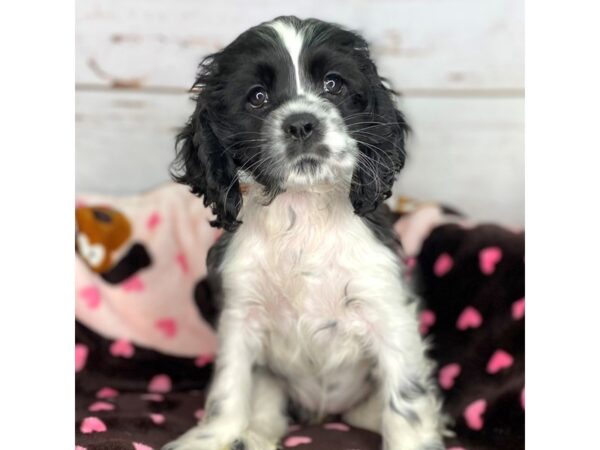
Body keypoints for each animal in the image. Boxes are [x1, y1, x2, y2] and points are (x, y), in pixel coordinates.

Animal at [164, 15, 446, 450]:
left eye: (333, 84)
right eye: (257, 96)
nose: (301, 124)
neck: (304, 211)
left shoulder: (387, 308)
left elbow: (407, 398)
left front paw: (413, 443)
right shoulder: (240, 315)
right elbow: (228, 389)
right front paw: (209, 438)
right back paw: (252, 439)